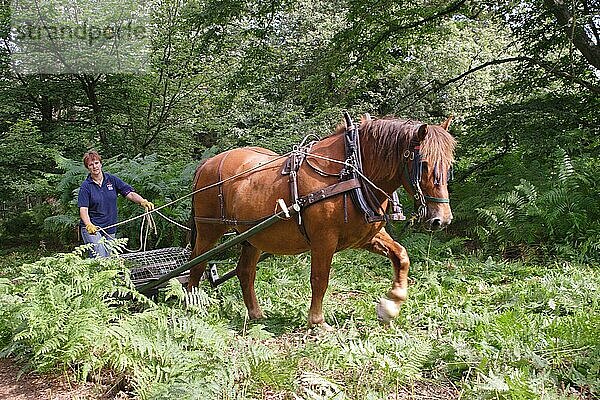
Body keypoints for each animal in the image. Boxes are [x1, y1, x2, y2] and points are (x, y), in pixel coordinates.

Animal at [190, 114, 458, 326]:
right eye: (424, 164)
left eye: (449, 166)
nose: (442, 220)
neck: (352, 172)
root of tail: (207, 163)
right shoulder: (323, 240)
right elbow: (320, 279)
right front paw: (317, 321)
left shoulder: (366, 236)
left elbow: (401, 256)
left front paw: (391, 305)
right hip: (208, 230)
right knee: (197, 265)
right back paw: (192, 306)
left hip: (252, 237)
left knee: (245, 272)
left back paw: (256, 314)